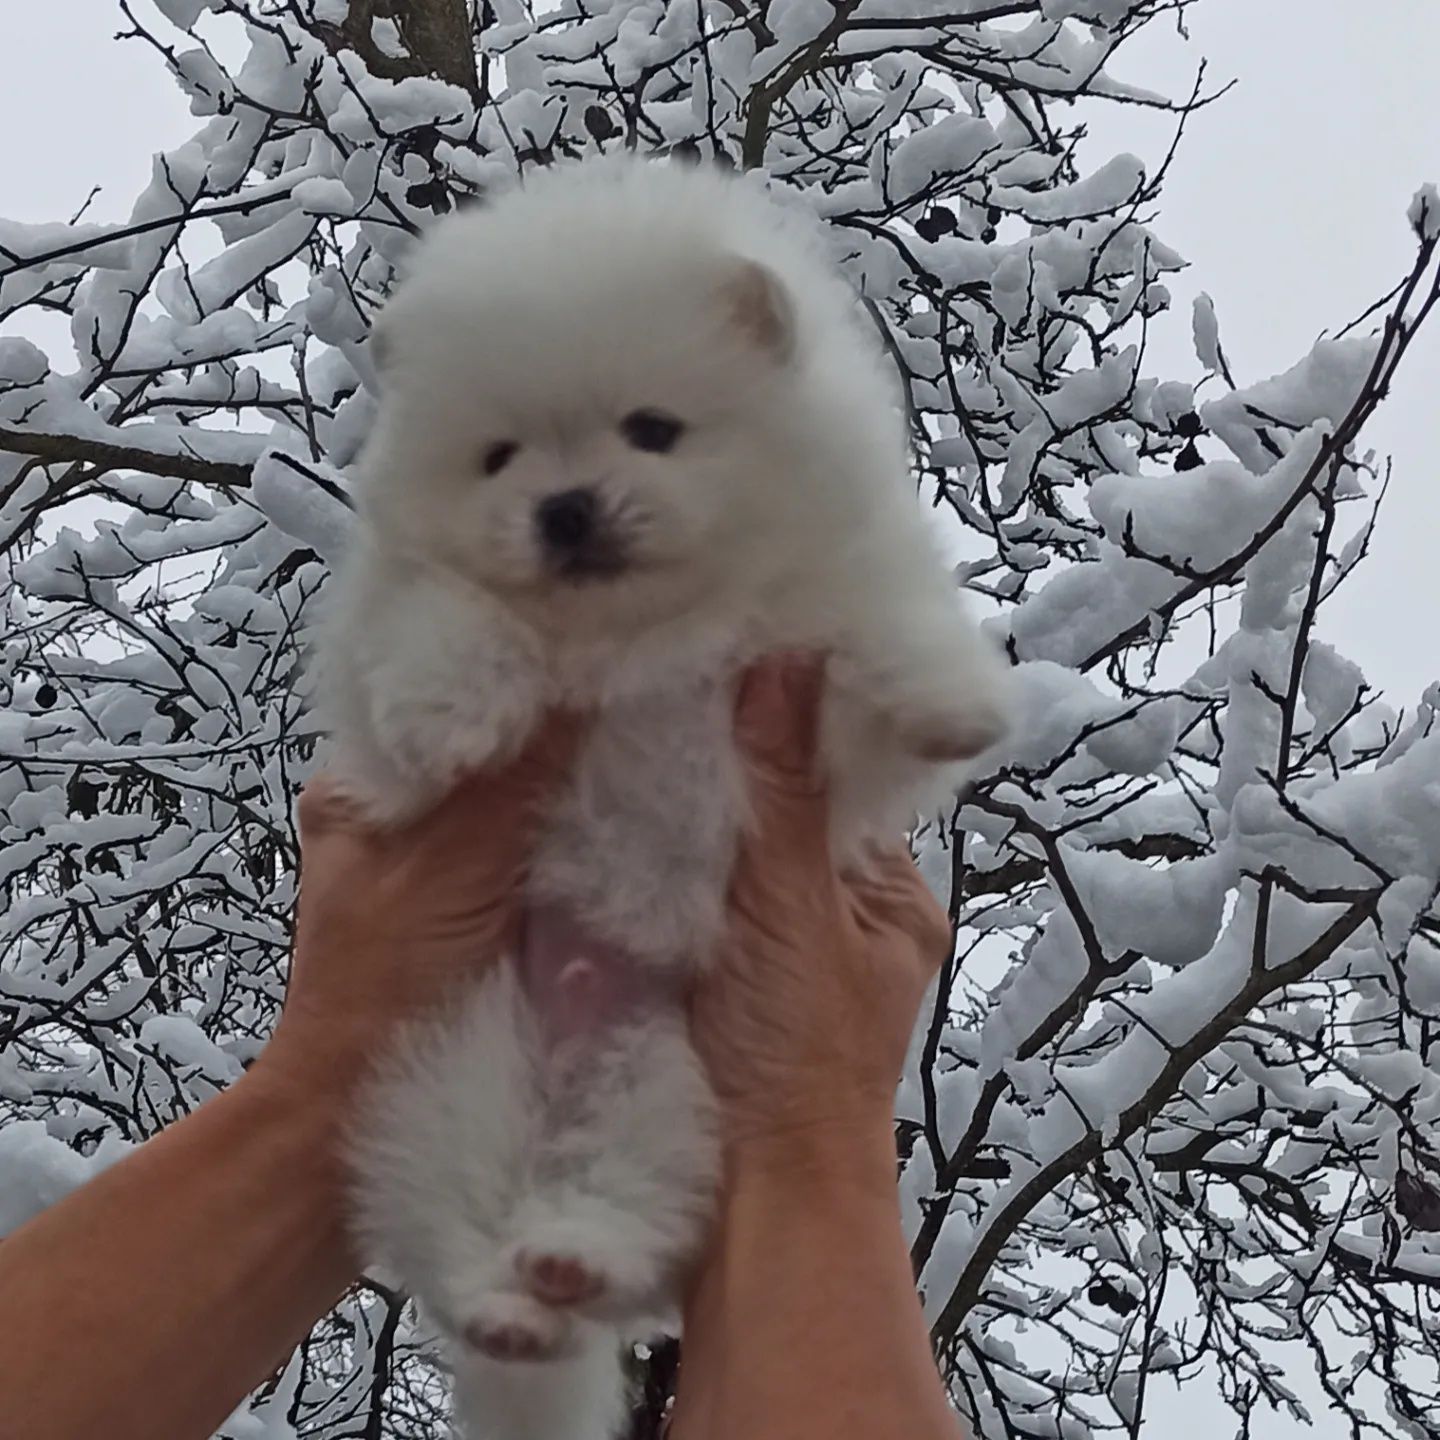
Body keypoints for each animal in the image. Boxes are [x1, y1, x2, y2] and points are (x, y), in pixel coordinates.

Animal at [318, 151, 1013, 1434]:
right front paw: (457, 715)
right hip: (459, 1075)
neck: (644, 638)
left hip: (670, 1097)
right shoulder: (393, 614)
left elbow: (881, 636)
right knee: (462, 1237)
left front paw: (954, 703)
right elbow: (443, 618)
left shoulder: (819, 655)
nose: (566, 508)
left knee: (623, 1215)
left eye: (653, 431)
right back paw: (514, 1303)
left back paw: (568, 1261)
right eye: (499, 458)